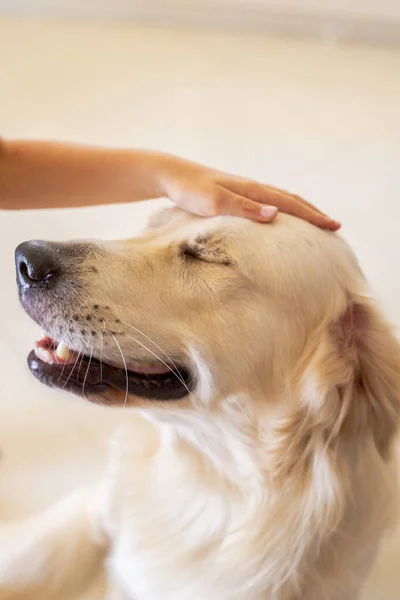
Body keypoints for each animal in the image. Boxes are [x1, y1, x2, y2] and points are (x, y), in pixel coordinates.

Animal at [0, 207, 400, 600]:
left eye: (206, 256)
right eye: (153, 225)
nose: (25, 259)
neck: (206, 475)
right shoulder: (93, 505)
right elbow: (33, 554)